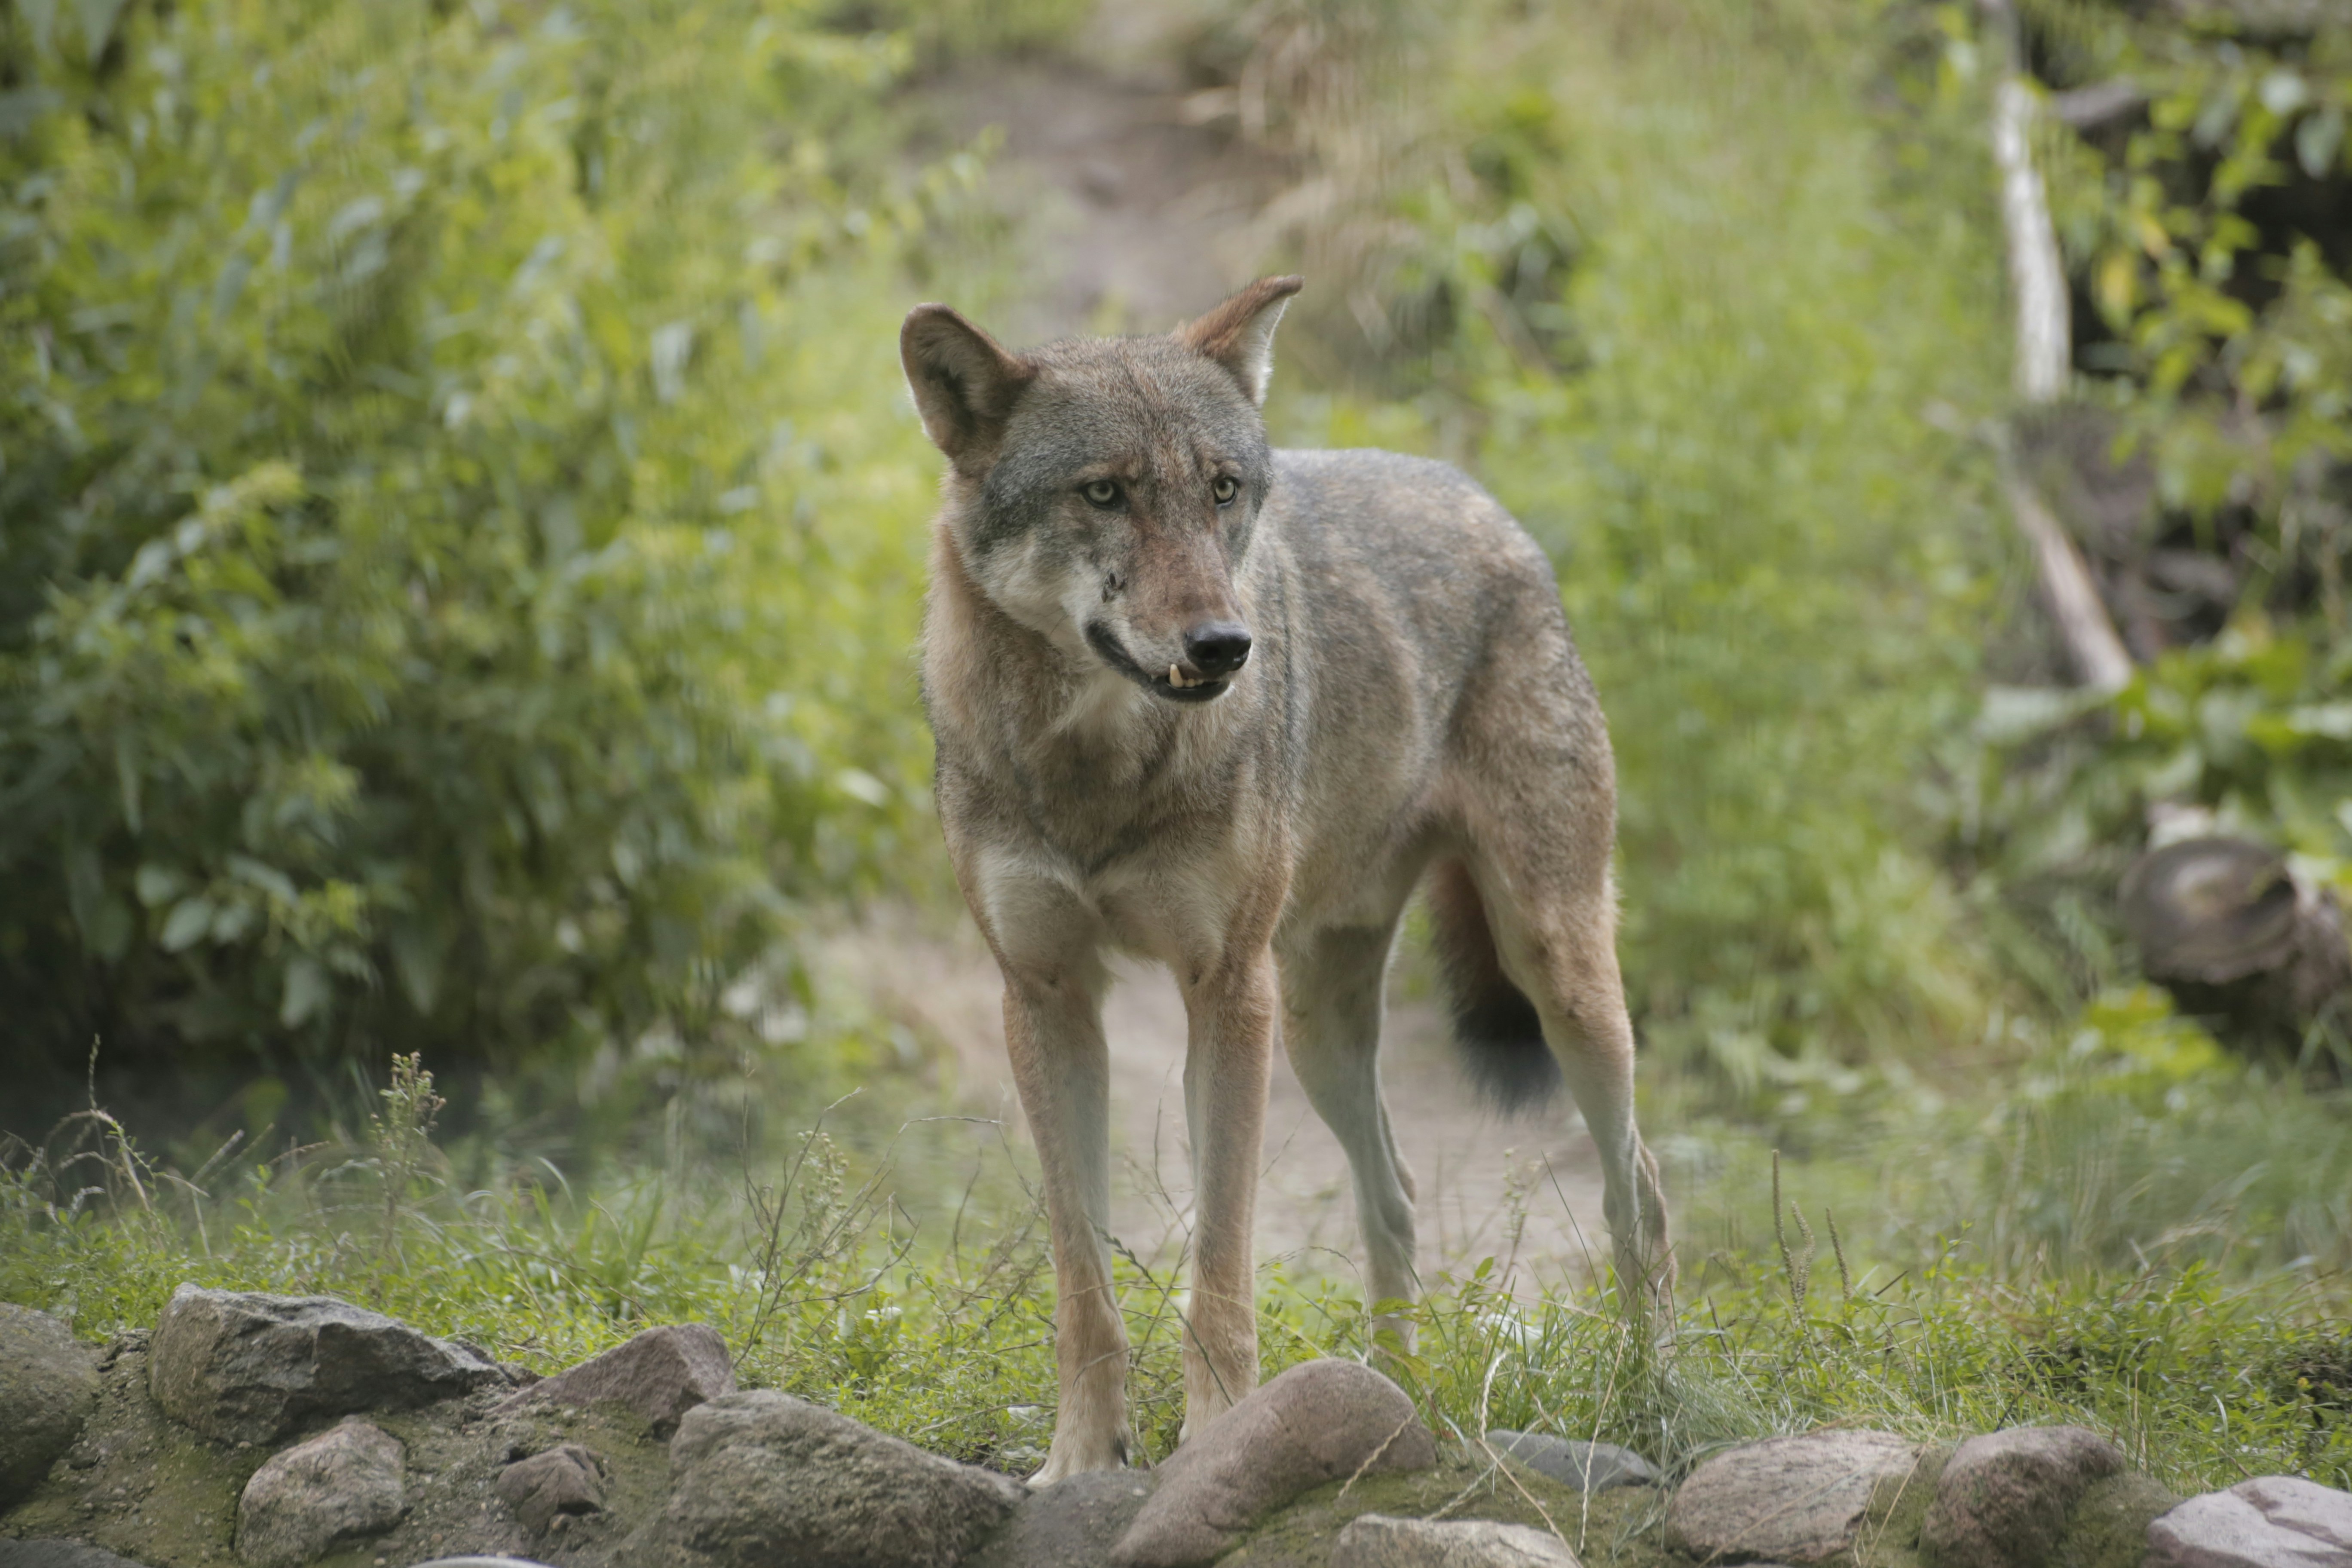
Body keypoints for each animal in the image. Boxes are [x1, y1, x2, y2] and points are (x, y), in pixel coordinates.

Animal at [902, 276, 1674, 1484]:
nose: (1227, 646)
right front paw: (1082, 1462)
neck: (1096, 770)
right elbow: (1083, 1285)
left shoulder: (1225, 992)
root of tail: (1486, 503)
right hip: (1316, 1029)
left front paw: (1218, 1439)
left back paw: (1652, 1397)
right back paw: (1399, 1403)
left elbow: (1219, 1267)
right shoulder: (1045, 1000)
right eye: (1104, 493)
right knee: (1397, 1200)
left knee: (1640, 1194)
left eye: (1221, 489)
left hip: (1556, 982)